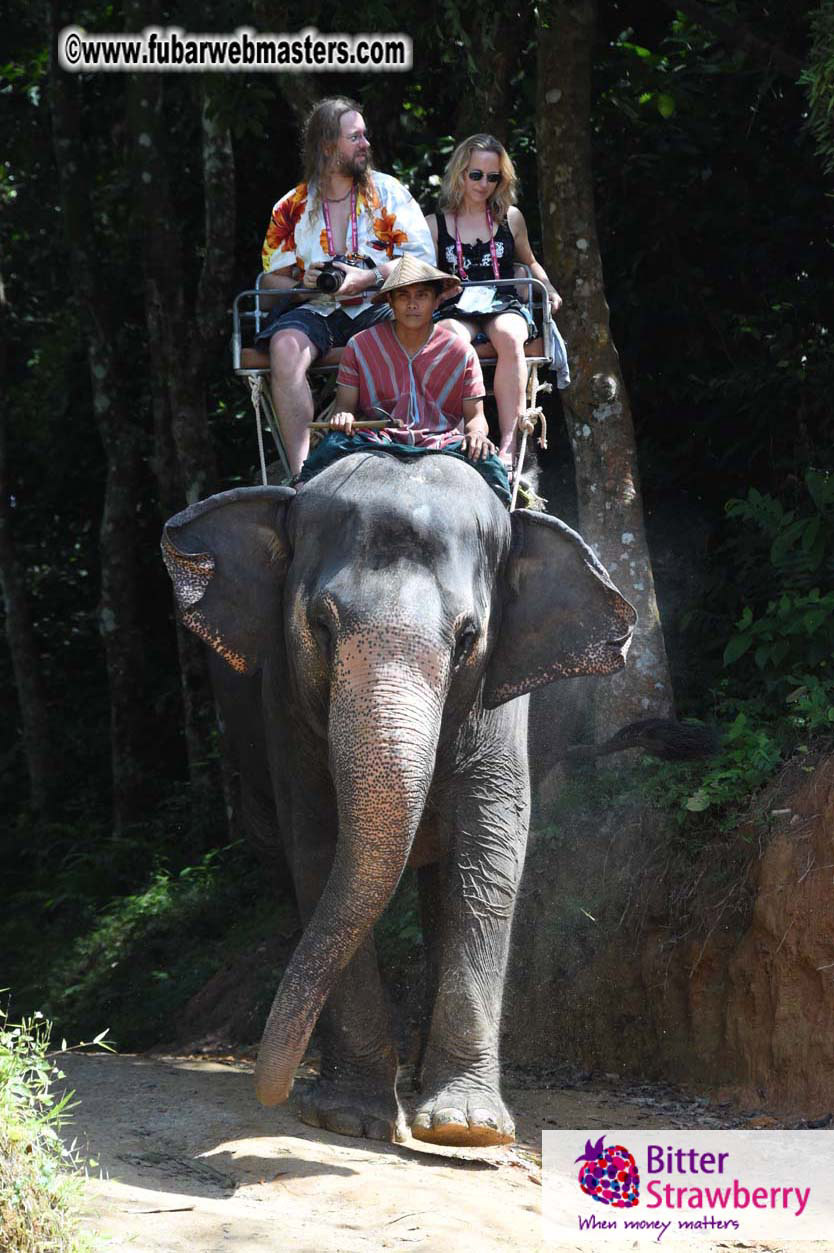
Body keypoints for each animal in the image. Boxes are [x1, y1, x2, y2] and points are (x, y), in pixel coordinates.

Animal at [161, 450, 636, 1147]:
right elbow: (317, 847)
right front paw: (348, 1117)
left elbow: (491, 850)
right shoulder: (284, 704)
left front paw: (467, 1130)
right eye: (320, 625)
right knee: (289, 871)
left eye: (468, 638)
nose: (271, 1092)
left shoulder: (500, 704)